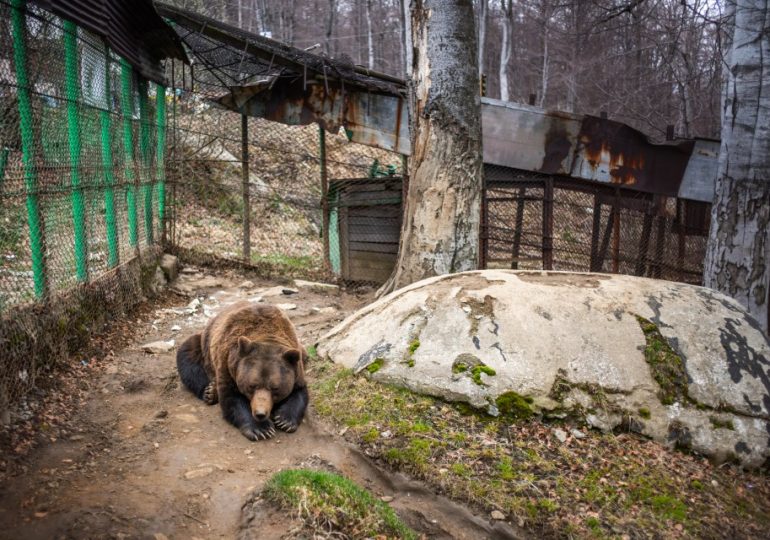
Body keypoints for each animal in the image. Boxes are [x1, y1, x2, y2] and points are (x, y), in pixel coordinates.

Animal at [176, 302, 308, 440]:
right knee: (188, 356)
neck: (267, 335)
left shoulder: (296, 367)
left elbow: (299, 391)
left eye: (275, 388)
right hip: (204, 346)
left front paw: (285, 421)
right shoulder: (228, 362)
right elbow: (232, 397)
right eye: (252, 386)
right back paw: (210, 392)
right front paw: (261, 429)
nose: (260, 413)